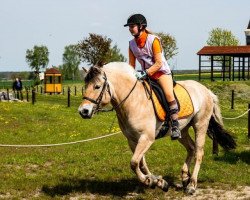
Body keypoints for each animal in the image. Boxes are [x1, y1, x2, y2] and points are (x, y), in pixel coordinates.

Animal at [78, 62, 236, 194]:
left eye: (97, 86)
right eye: (85, 86)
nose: (83, 111)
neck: (133, 101)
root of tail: (207, 91)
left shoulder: (146, 138)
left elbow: (134, 162)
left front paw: (151, 181)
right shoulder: (133, 140)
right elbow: (141, 163)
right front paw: (157, 182)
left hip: (200, 125)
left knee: (199, 152)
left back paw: (191, 185)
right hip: (183, 130)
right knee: (191, 148)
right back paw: (185, 177)